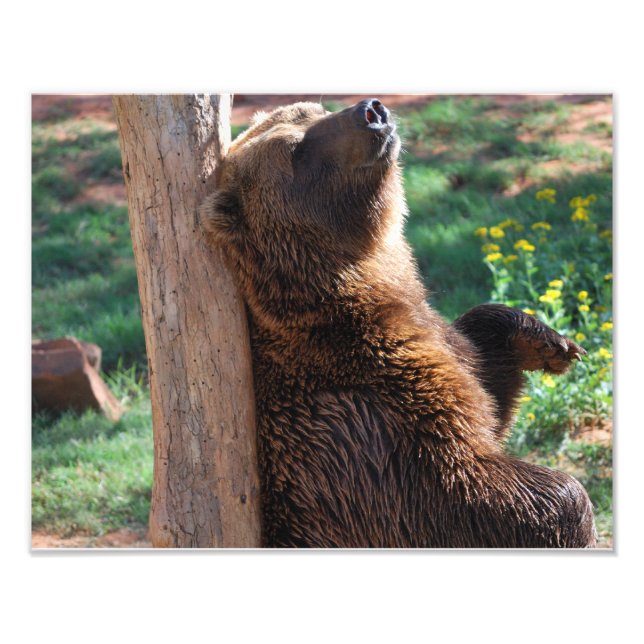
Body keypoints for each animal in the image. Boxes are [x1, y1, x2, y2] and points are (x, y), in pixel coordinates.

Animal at [201, 98, 596, 548]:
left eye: (313, 109)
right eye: (295, 150)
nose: (370, 111)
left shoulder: (433, 351)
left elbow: (485, 379)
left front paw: (552, 344)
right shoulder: (370, 425)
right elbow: (468, 490)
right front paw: (577, 514)